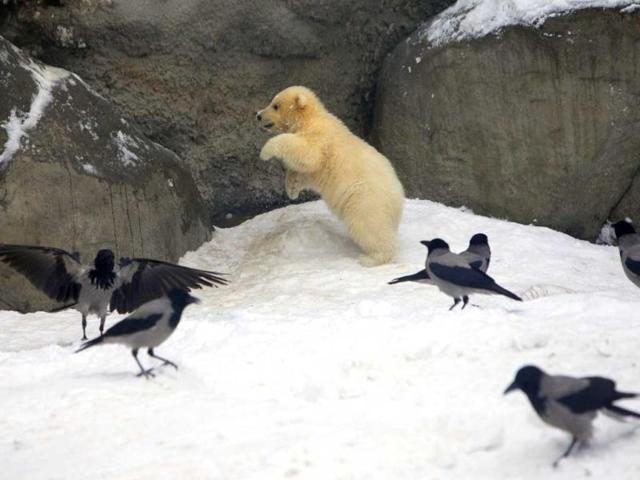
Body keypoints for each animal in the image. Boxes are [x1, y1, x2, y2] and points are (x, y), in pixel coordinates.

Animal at [256, 86, 405, 267]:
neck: (310, 118)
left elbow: (307, 154)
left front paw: (266, 151)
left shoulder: (320, 138)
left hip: (365, 198)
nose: (258, 115)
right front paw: (292, 189)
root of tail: (398, 199)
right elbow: (303, 170)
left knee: (368, 225)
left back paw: (371, 258)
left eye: (275, 105)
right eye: (272, 102)